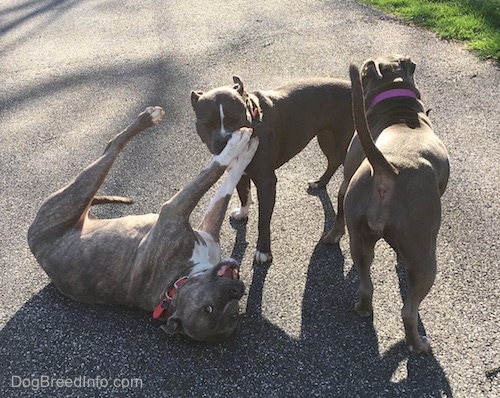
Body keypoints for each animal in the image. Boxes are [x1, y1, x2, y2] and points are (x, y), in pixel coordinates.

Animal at [27, 106, 260, 342]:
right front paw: (241, 145)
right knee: (112, 146)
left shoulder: (207, 229)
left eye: (233, 313)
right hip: (77, 194)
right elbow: (216, 171)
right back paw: (148, 118)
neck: (175, 285)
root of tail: (33, 240)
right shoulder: (176, 209)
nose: (238, 289)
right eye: (208, 308)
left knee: (109, 151)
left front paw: (246, 150)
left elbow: (226, 182)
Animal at [322, 53, 452, 354]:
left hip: (360, 235)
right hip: (424, 255)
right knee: (409, 310)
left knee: (366, 284)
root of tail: (388, 170)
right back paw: (419, 345)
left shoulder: (346, 179)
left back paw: (362, 309)